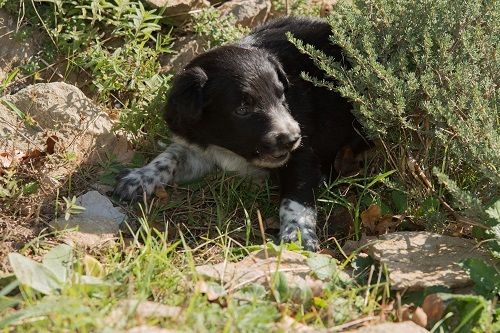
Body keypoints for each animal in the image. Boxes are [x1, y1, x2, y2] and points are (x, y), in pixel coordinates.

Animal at [114, 15, 372, 249]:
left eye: (282, 96)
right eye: (242, 109)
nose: (292, 139)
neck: (227, 147)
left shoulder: (302, 153)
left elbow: (296, 198)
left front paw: (297, 234)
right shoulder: (199, 147)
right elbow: (170, 156)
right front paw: (139, 177)